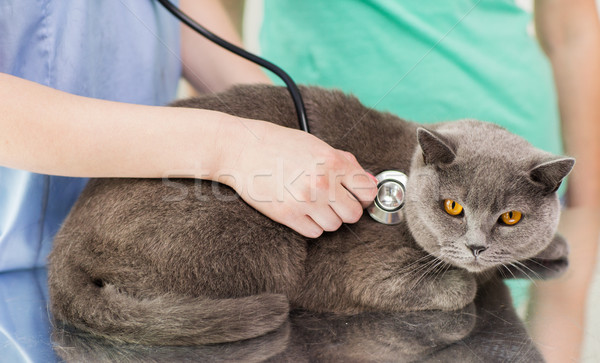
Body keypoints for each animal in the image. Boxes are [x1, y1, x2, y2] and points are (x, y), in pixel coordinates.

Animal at [47, 84, 572, 346]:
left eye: (510, 218)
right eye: (453, 207)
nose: (477, 246)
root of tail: (64, 240)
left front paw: (551, 246)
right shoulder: (359, 269)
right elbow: (459, 289)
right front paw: (472, 278)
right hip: (259, 237)